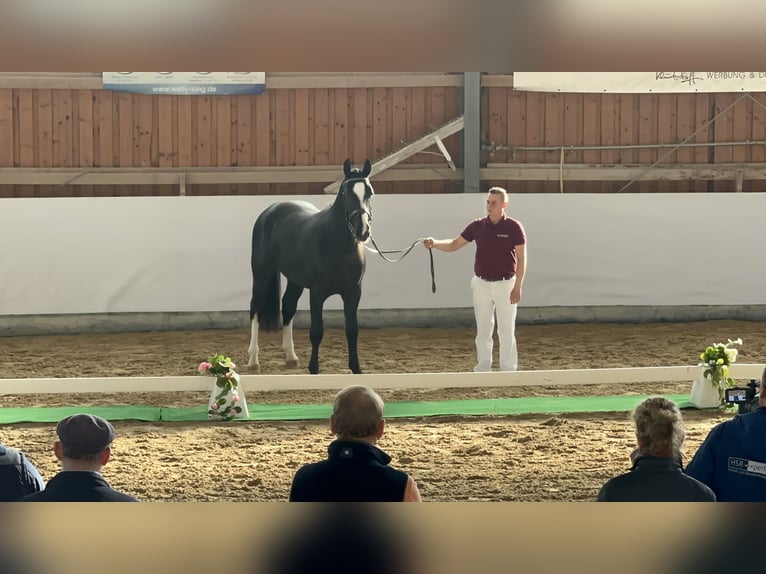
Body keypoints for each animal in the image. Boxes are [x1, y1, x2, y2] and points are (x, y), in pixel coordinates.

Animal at [248, 160, 376, 376]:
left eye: (370, 192)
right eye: (345, 193)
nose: (363, 230)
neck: (336, 245)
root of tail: (269, 212)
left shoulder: (353, 293)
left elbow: (352, 330)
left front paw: (356, 368)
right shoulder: (317, 293)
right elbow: (316, 331)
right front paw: (314, 369)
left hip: (295, 280)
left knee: (288, 306)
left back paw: (291, 357)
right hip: (261, 274)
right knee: (255, 307)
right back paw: (253, 360)